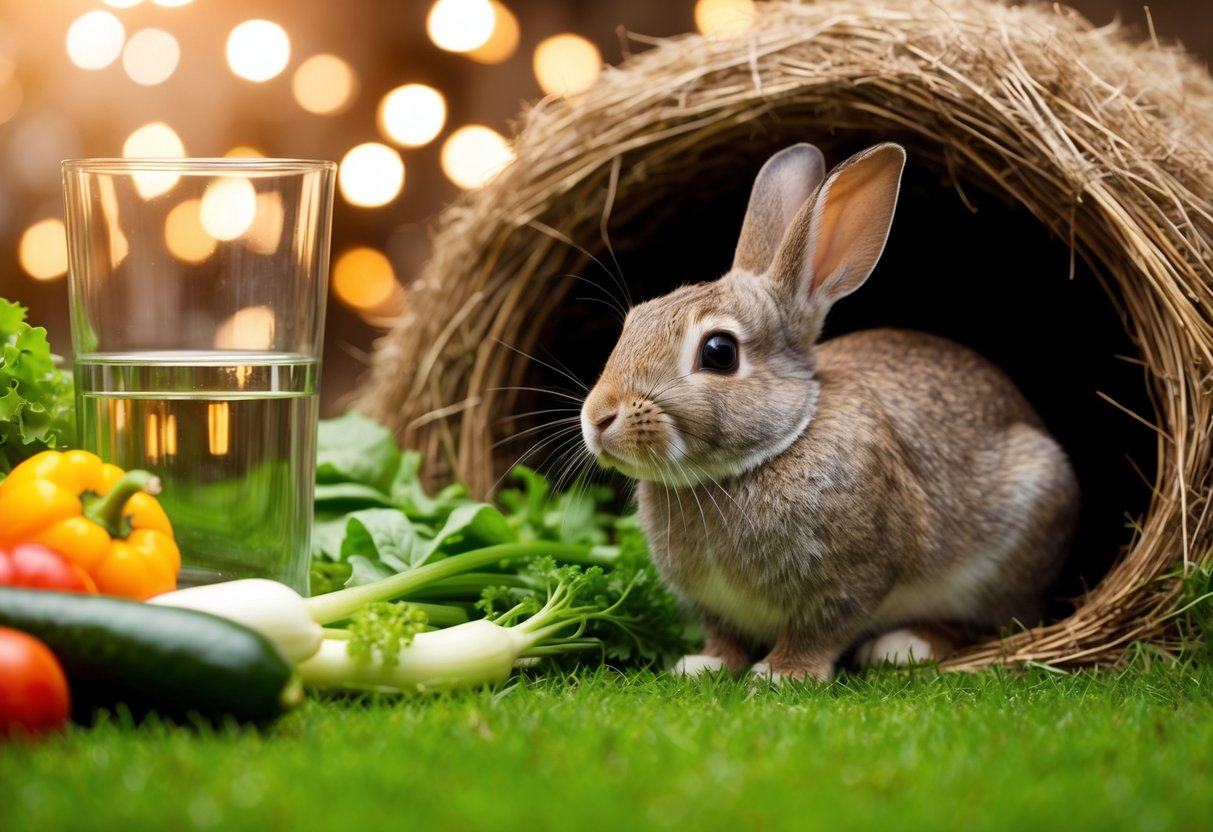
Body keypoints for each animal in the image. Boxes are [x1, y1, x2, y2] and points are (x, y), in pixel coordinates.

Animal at [579, 142, 1080, 681]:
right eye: (633, 322)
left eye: (719, 352)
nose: (598, 417)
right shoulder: (713, 606)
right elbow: (723, 634)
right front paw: (702, 665)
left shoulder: (855, 575)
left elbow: (822, 627)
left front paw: (783, 674)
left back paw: (902, 645)